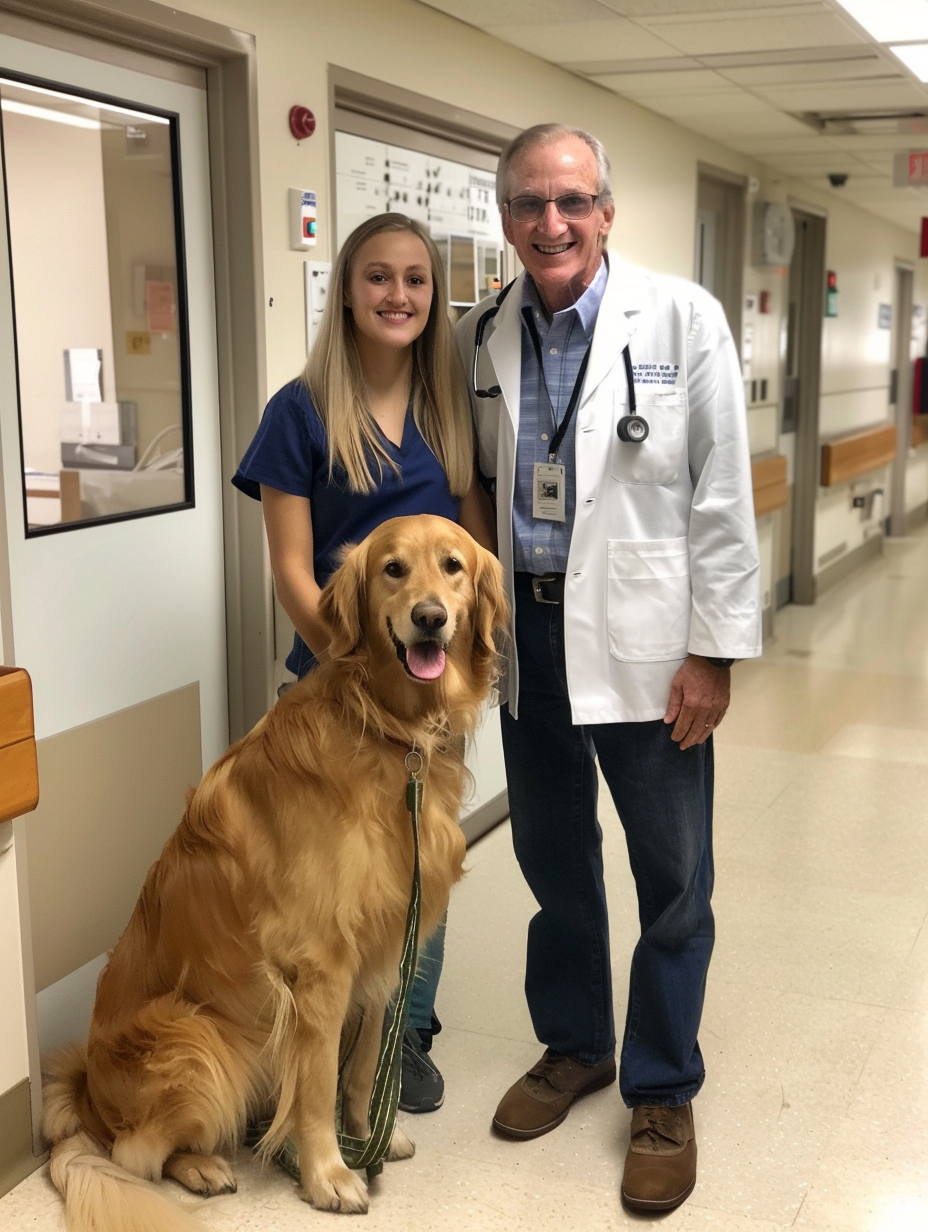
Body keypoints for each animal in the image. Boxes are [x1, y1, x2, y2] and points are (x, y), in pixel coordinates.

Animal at [41, 517, 507, 1232]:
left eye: (452, 566)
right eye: (393, 569)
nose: (429, 619)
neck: (391, 735)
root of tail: (88, 1102)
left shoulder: (383, 953)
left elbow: (361, 1070)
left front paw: (367, 1137)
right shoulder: (318, 968)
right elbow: (313, 1088)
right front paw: (329, 1174)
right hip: (198, 1038)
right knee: (135, 1154)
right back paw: (202, 1166)